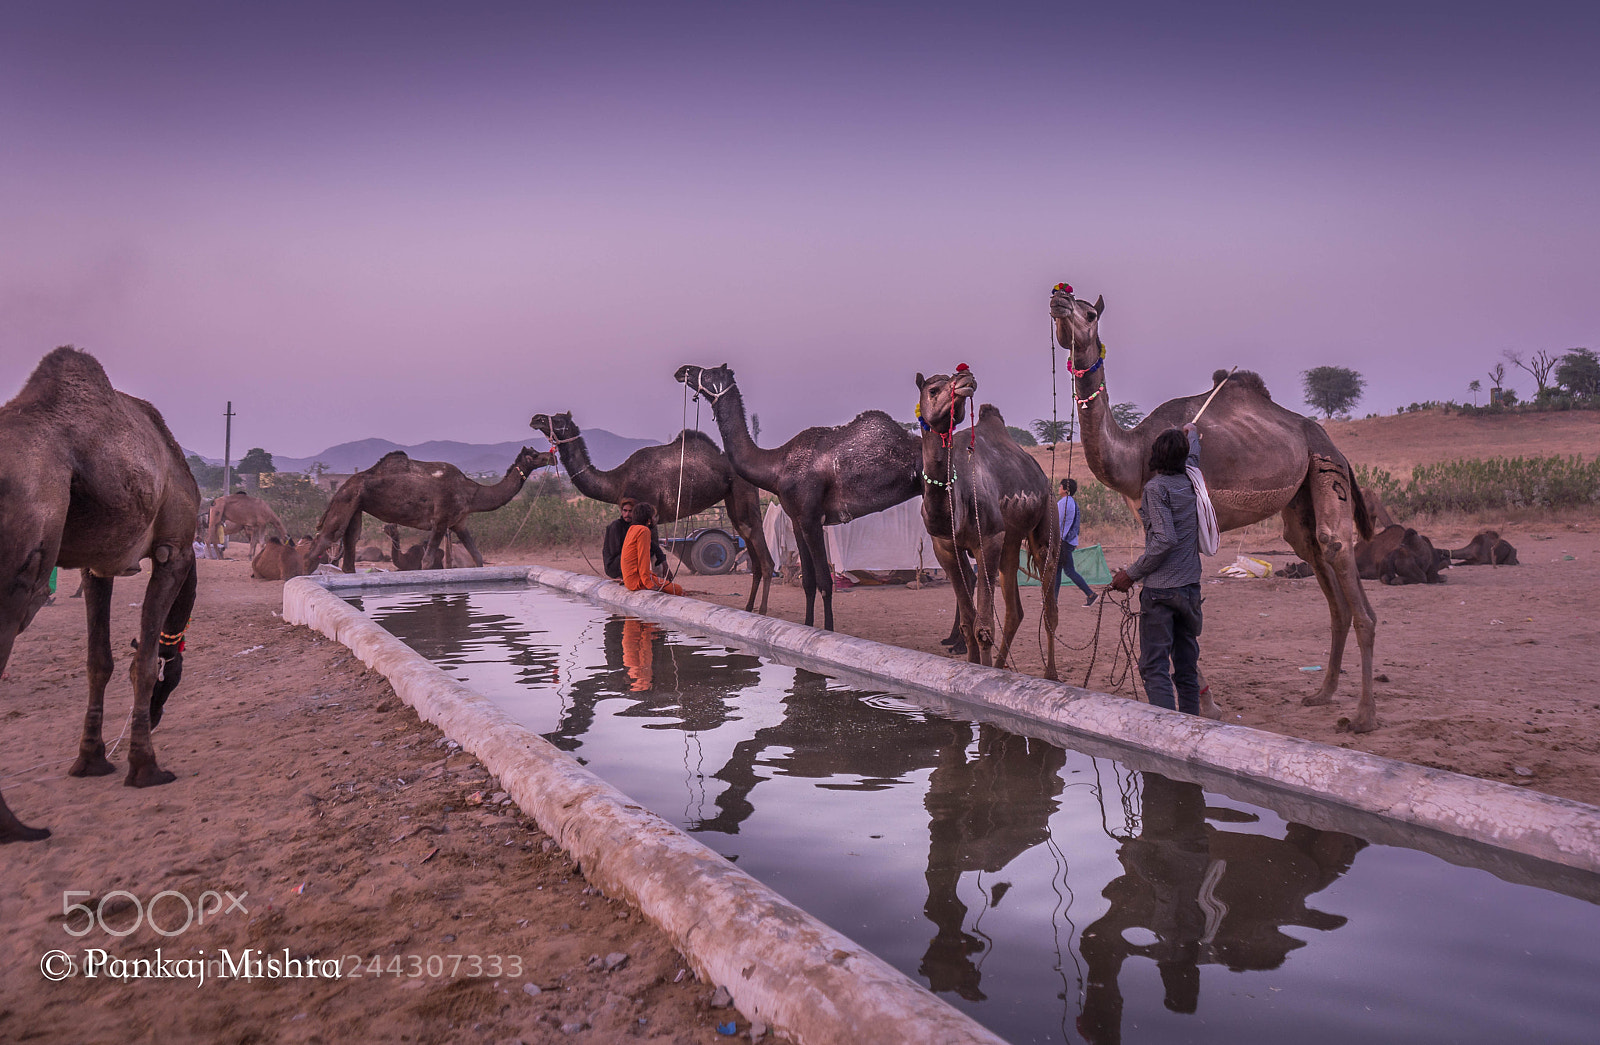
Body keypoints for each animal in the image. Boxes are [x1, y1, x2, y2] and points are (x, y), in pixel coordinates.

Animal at [1, 347, 199, 843]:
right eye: (171, 681)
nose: (157, 714)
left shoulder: (96, 565)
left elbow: (99, 661)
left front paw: (90, 760)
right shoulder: (173, 549)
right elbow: (141, 663)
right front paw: (145, 767)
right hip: (23, 571)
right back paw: (16, 827)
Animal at [308, 447, 555, 571]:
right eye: (533, 455)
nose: (551, 455)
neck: (472, 492)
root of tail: (342, 486)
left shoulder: (459, 523)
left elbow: (478, 556)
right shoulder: (440, 521)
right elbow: (426, 562)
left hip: (355, 507)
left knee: (349, 546)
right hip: (345, 501)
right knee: (323, 541)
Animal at [529, 410, 775, 614]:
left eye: (558, 419)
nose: (535, 419)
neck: (617, 481)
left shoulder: (647, 509)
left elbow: (652, 554)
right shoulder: (653, 517)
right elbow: (657, 556)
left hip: (744, 490)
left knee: (756, 540)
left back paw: (762, 609)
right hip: (732, 498)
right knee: (746, 535)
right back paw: (749, 607)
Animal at [913, 368, 1060, 679]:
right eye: (933, 389)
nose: (964, 378)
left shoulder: (988, 538)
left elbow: (984, 626)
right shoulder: (945, 549)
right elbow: (968, 624)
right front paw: (973, 667)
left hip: (1047, 520)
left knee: (1049, 607)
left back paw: (1050, 675)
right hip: (1010, 543)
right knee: (1015, 611)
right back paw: (1001, 666)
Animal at [1051, 286, 1380, 732]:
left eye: (1090, 313)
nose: (1058, 298)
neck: (1134, 454)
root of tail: (1333, 444)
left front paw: (1207, 706)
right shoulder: (1144, 511)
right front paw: (1203, 702)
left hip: (1327, 469)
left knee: (1337, 549)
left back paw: (1363, 715)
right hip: (1301, 496)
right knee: (1316, 559)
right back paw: (1322, 694)